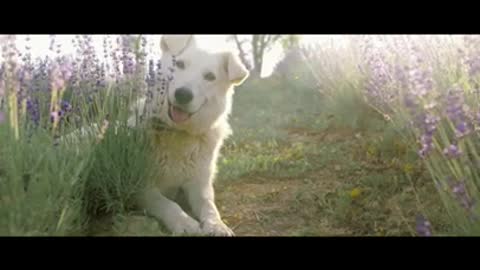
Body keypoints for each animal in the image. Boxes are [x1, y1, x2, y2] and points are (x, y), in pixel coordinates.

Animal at [131, 35, 249, 236]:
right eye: (179, 64)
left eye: (210, 76)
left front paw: (217, 225)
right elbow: (167, 203)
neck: (178, 133)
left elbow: (210, 207)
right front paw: (185, 223)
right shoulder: (140, 187)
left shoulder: (199, 186)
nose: (183, 94)